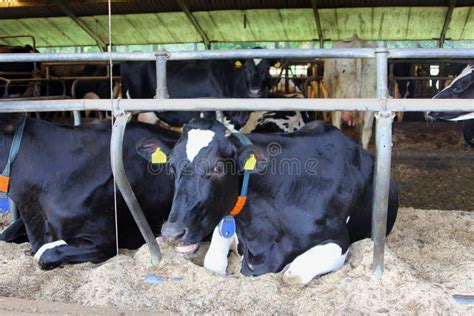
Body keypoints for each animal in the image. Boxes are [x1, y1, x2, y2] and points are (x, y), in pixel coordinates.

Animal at [139, 119, 398, 286]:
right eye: (171, 165)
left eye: (217, 168)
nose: (172, 232)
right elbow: (212, 263)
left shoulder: (339, 240)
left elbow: (292, 275)